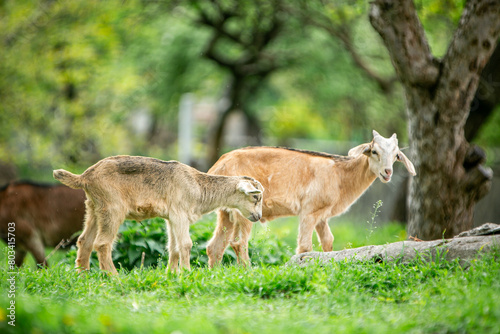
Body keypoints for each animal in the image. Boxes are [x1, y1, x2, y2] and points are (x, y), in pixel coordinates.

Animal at [53, 155, 266, 272]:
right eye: (256, 197)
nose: (258, 217)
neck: (197, 186)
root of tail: (85, 176)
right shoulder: (180, 214)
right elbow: (186, 244)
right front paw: (187, 272)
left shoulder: (171, 218)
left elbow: (173, 247)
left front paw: (171, 274)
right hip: (112, 209)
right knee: (102, 244)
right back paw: (115, 277)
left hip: (93, 209)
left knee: (84, 242)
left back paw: (84, 276)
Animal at [205, 130, 416, 266]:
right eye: (374, 151)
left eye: (396, 155)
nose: (387, 172)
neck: (340, 175)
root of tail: (219, 165)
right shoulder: (310, 211)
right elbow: (306, 247)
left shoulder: (322, 215)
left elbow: (328, 241)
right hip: (245, 209)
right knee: (238, 243)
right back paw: (248, 272)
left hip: (225, 212)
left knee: (215, 246)